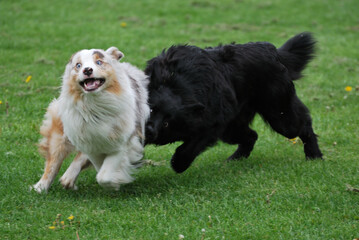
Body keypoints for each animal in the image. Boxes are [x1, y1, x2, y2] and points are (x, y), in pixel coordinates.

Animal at [31, 47, 149, 193]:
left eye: (99, 62)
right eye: (78, 65)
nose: (87, 70)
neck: (94, 106)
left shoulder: (124, 141)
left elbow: (104, 174)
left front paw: (114, 183)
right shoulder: (90, 141)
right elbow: (99, 168)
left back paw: (68, 179)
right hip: (61, 134)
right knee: (54, 161)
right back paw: (41, 187)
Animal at [145, 32, 324, 173]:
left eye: (167, 123)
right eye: (151, 110)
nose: (149, 130)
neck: (176, 84)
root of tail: (273, 51)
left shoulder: (210, 125)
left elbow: (190, 147)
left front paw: (179, 163)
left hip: (280, 117)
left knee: (304, 126)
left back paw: (314, 155)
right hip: (232, 127)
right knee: (252, 136)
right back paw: (236, 159)